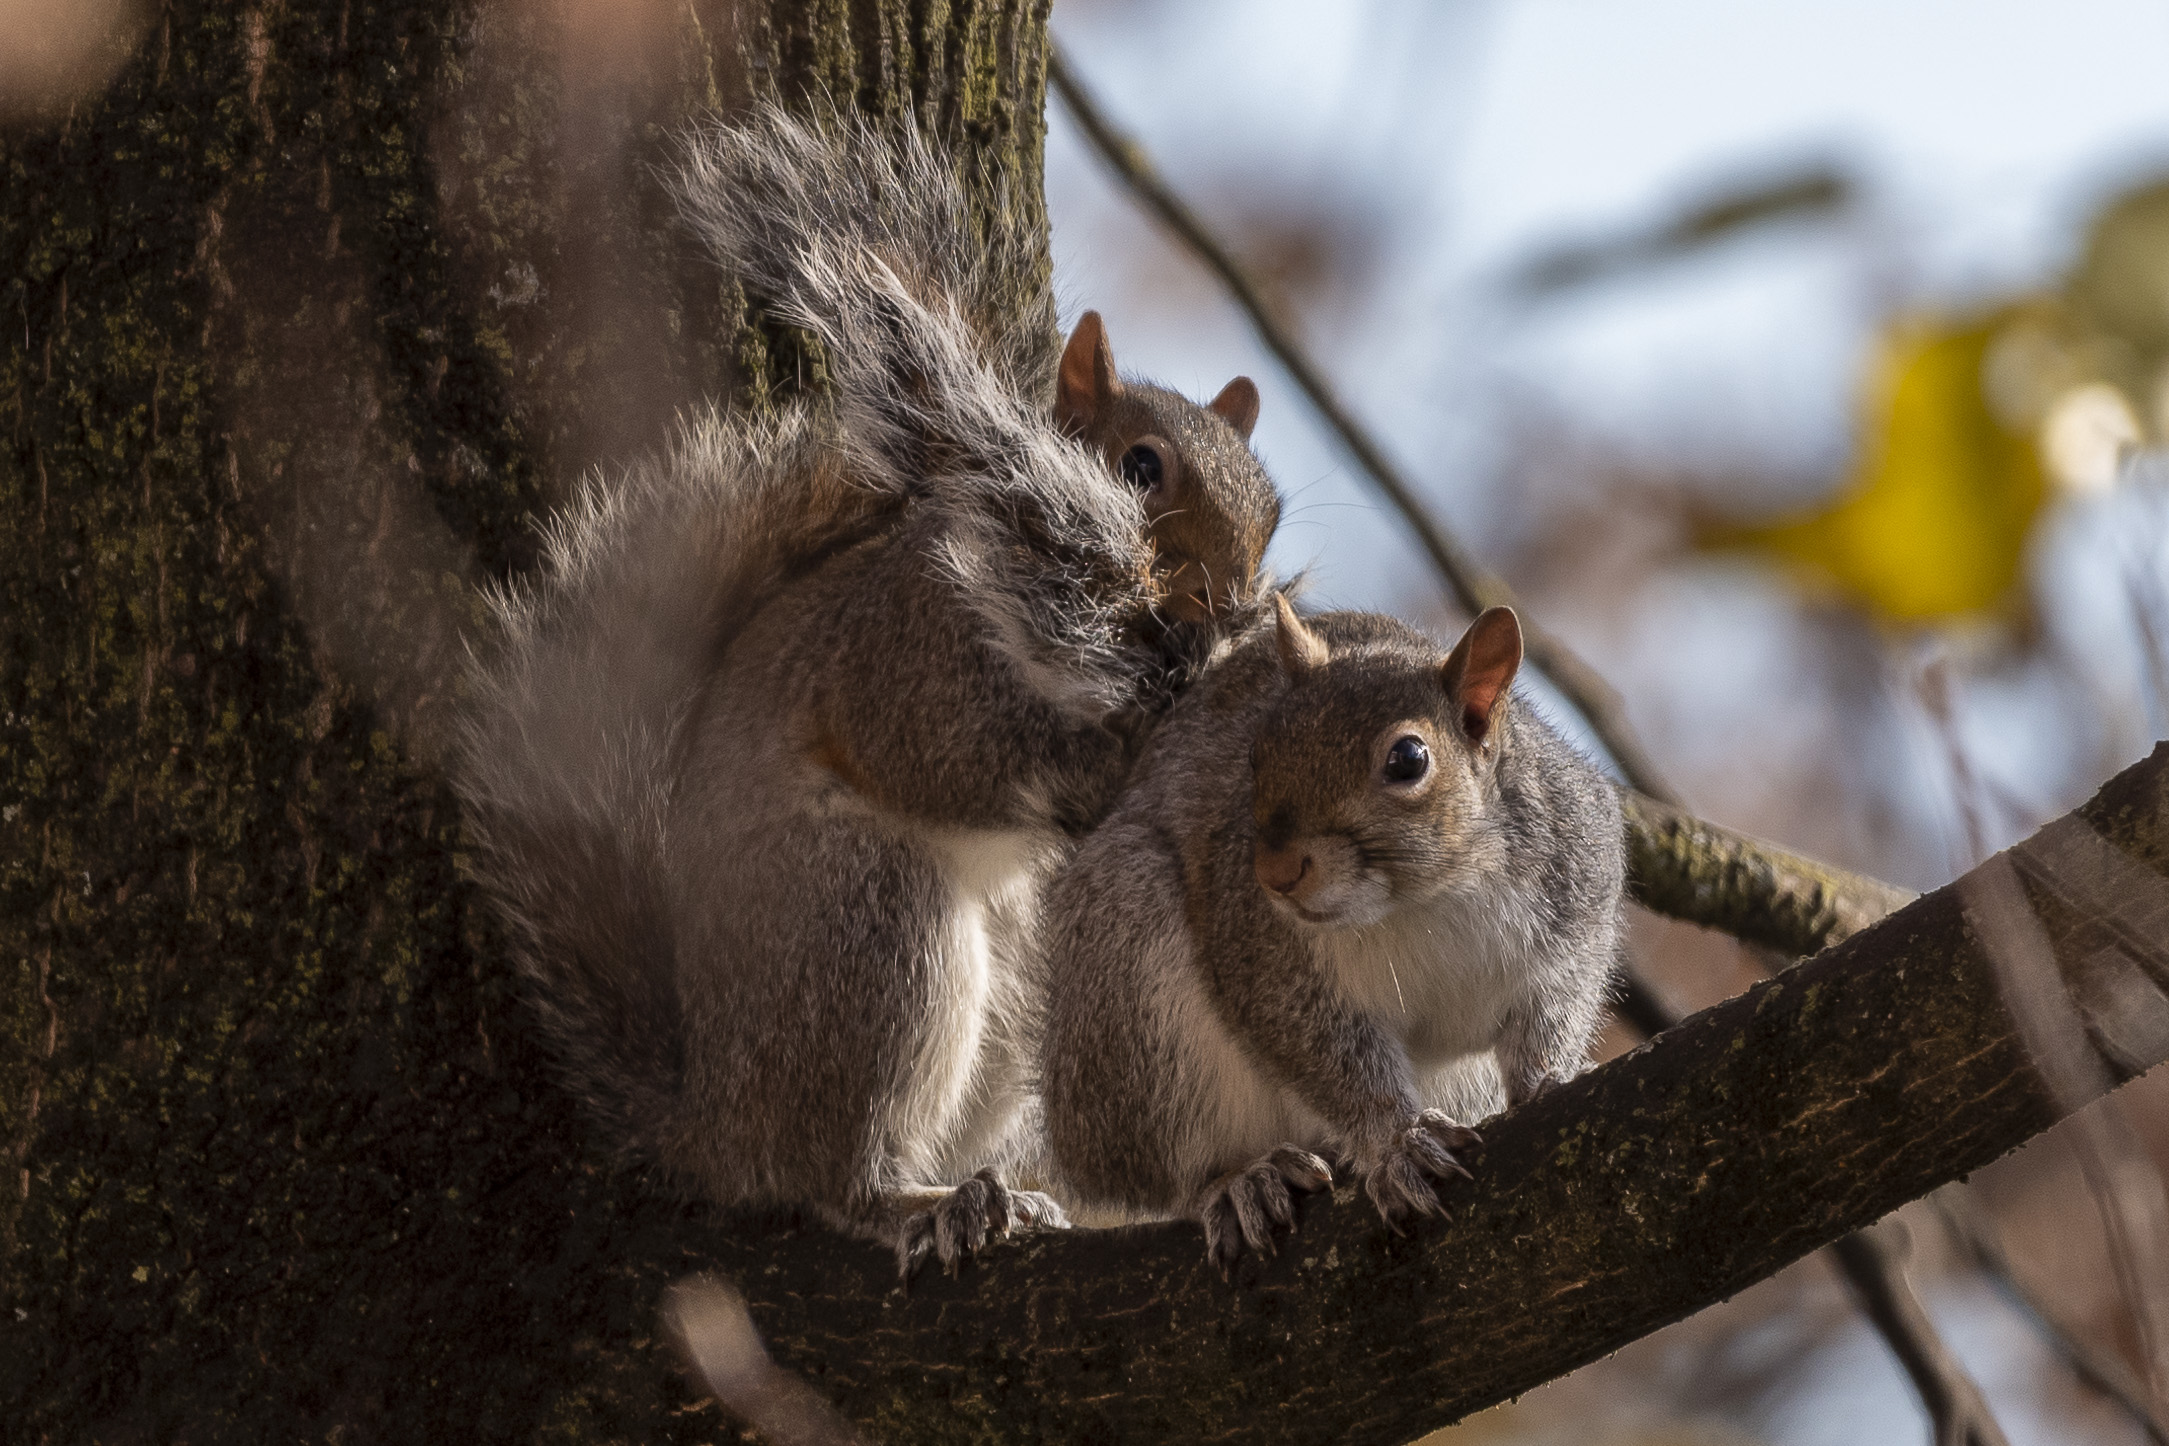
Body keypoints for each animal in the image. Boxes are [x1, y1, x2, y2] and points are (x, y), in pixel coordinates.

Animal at [454, 106, 1282, 1277]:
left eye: (1272, 515)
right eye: (1138, 469)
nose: (1235, 599)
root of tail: (715, 1121)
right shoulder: (905, 647)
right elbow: (937, 749)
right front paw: (1119, 746)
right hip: (870, 928)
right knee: (831, 1174)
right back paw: (914, 1202)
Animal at [1037, 598, 1625, 1266]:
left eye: (1408, 760)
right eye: (1256, 755)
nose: (1274, 873)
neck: (1421, 898)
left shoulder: (1577, 892)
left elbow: (1557, 1002)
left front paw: (1550, 1075)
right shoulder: (1265, 960)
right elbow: (1330, 1059)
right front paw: (1398, 1143)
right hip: (1130, 989)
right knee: (1165, 1175)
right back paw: (1238, 1182)